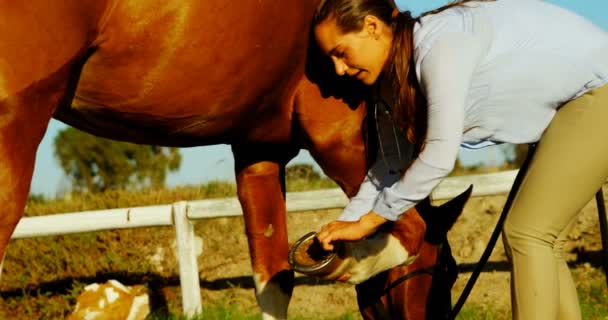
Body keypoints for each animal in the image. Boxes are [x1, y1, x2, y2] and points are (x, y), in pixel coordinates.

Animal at [1, 1, 466, 318]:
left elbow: (274, 279)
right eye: (447, 272)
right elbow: (408, 229)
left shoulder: (258, 152)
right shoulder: (339, 139)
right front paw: (344, 258)